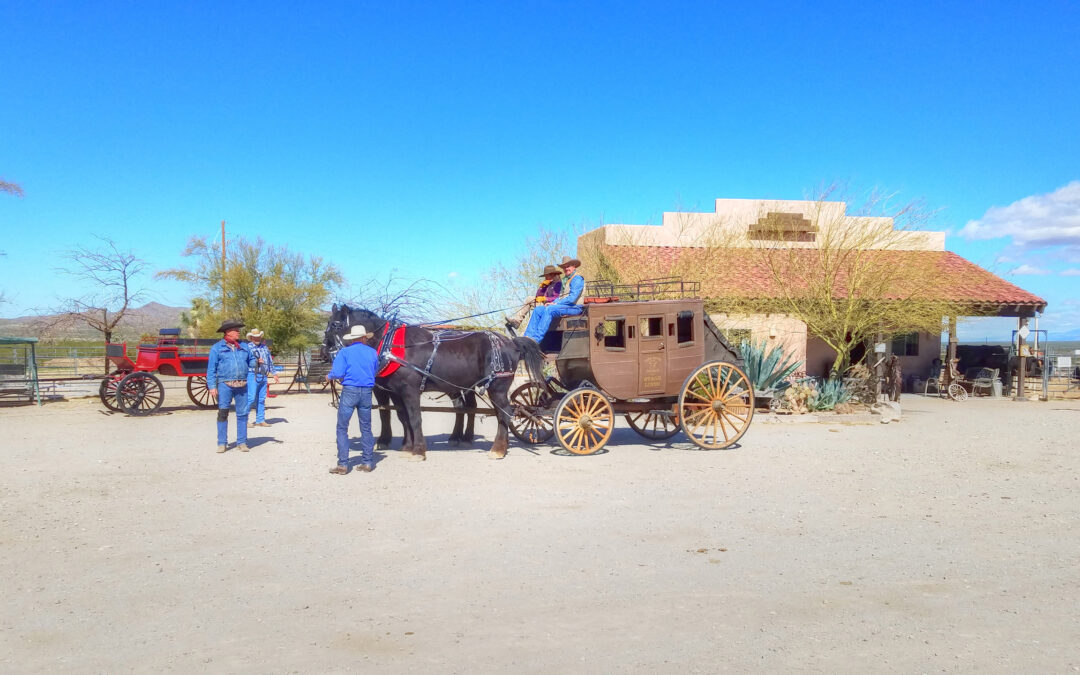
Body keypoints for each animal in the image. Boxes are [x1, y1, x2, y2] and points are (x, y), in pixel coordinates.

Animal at [315, 304, 544, 457]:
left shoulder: (410, 391)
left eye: (335, 325)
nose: (324, 352)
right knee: (474, 409)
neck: (392, 346)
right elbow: (402, 417)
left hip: (497, 387)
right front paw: (406, 446)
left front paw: (418, 450)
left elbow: (415, 418)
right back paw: (467, 439)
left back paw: (498, 449)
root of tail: (511, 342)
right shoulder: (395, 392)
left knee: (504, 413)